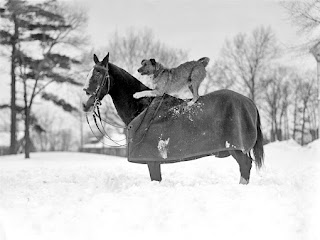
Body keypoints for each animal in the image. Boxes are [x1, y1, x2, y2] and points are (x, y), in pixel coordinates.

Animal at [81, 53, 264, 184]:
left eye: (99, 74)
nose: (85, 102)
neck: (142, 106)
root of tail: (249, 101)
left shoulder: (152, 160)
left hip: (236, 148)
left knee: (245, 166)